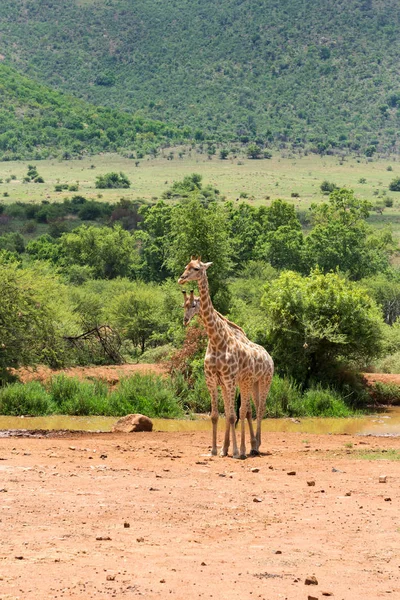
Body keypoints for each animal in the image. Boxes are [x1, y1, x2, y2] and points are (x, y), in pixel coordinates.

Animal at [179, 255, 276, 458]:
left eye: (197, 268)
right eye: (186, 266)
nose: (181, 278)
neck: (217, 340)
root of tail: (269, 357)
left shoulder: (230, 379)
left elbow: (232, 415)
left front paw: (237, 451)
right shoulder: (213, 379)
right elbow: (217, 415)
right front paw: (217, 450)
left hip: (264, 381)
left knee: (257, 409)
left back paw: (254, 446)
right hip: (251, 383)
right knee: (248, 409)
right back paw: (248, 445)